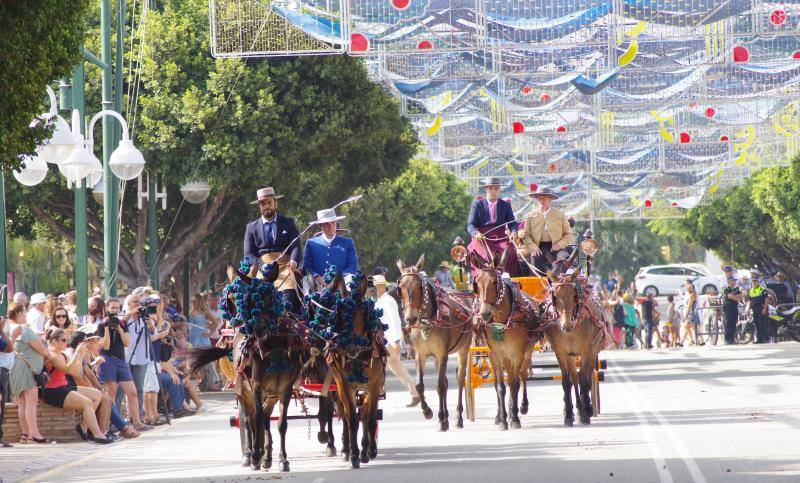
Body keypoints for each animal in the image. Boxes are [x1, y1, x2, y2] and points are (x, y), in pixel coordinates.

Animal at [188, 262, 304, 470]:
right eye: (248, 300)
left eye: (271, 296)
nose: (256, 328)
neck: (274, 346)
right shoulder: (255, 386)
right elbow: (254, 418)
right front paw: (256, 455)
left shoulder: (286, 389)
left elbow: (281, 424)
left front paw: (282, 459)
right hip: (243, 389)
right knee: (248, 417)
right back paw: (251, 454)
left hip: (270, 394)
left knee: (265, 416)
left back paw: (267, 455)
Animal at [396, 255, 472, 432]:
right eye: (400, 287)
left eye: (419, 286)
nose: (410, 318)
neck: (428, 320)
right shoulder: (421, 355)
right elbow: (420, 385)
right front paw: (428, 411)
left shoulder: (442, 354)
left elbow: (440, 386)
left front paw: (441, 419)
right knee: (446, 381)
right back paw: (446, 417)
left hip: (464, 348)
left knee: (459, 380)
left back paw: (458, 417)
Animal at [468, 251, 536, 430]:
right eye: (476, 283)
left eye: (494, 282)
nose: (484, 313)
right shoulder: (495, 354)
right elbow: (500, 387)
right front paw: (503, 420)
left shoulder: (517, 354)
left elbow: (514, 384)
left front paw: (514, 418)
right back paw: (503, 414)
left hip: (527, 352)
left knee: (522, 376)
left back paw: (521, 407)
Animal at [544, 253, 612, 428]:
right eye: (555, 296)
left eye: (574, 295)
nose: (566, 325)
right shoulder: (561, 352)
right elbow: (567, 381)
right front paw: (568, 415)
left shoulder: (587, 350)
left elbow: (585, 380)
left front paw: (586, 413)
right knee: (575, 377)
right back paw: (578, 408)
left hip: (593, 349)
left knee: (586, 375)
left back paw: (587, 408)